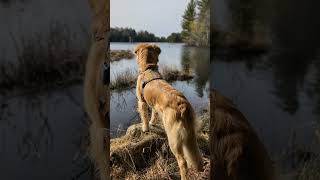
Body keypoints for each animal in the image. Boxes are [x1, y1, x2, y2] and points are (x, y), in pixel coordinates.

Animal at [134, 43, 202, 179]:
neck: (148, 69)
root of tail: (182, 106)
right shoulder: (154, 105)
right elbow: (153, 115)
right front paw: (153, 123)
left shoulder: (142, 102)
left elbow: (144, 117)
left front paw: (145, 128)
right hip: (190, 134)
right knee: (196, 156)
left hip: (174, 139)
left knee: (182, 161)